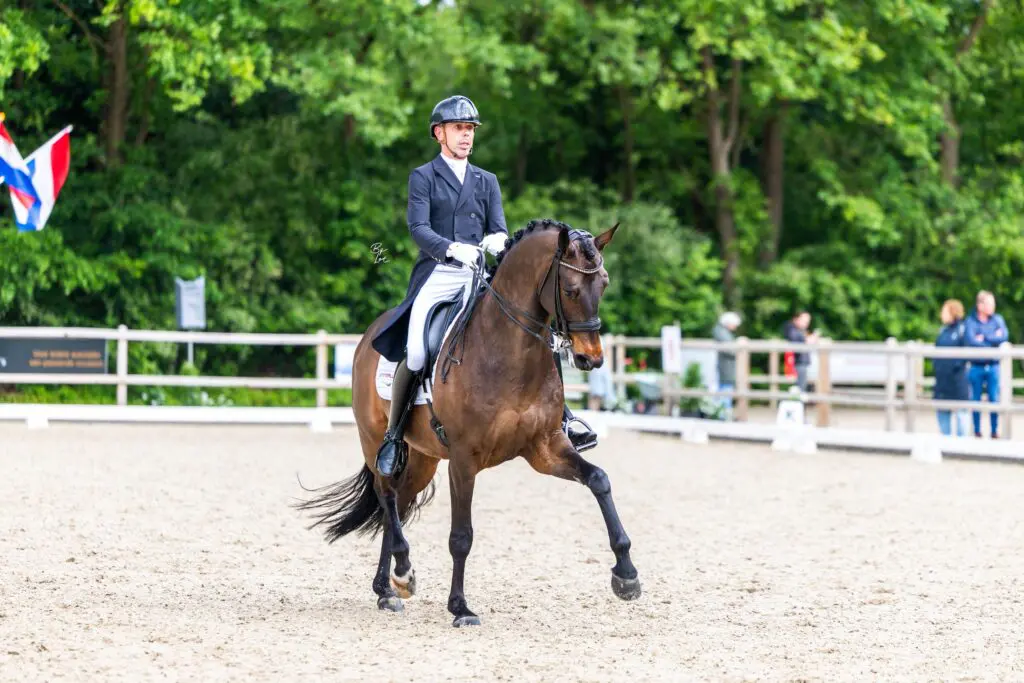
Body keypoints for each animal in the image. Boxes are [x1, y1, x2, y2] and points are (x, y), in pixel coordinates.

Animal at [294, 219, 640, 627]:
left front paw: (627, 575)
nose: (592, 359)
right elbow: (461, 536)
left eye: (603, 284)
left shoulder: (545, 447)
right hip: (374, 438)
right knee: (387, 494)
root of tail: (369, 336)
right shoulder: (463, 459)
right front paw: (460, 607)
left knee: (399, 501)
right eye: (570, 289)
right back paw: (402, 573)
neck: (510, 352)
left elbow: (599, 480)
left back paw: (388, 588)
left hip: (424, 458)